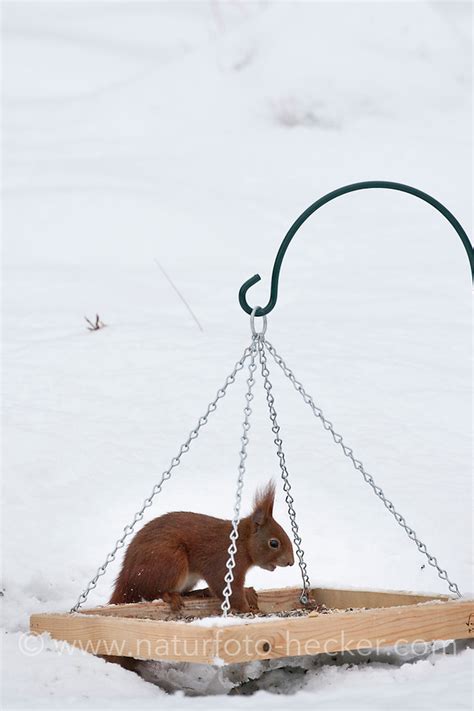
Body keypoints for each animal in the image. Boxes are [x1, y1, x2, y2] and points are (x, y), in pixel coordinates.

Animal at [110, 482, 292, 616]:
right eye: (274, 543)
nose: (291, 562)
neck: (242, 543)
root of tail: (126, 578)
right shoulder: (223, 561)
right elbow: (227, 588)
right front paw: (248, 610)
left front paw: (247, 591)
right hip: (170, 562)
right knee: (150, 593)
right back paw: (170, 596)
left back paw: (201, 592)